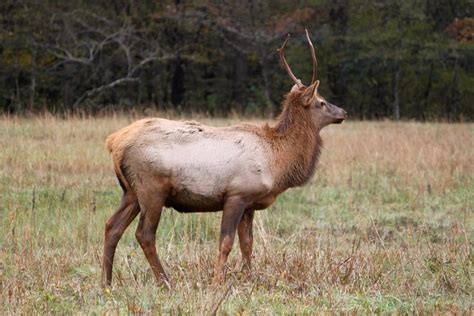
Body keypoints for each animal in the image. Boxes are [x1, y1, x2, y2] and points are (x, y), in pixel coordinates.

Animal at [103, 29, 348, 286]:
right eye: (321, 102)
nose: (343, 112)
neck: (277, 161)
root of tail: (114, 142)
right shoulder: (236, 194)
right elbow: (226, 242)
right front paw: (217, 282)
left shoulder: (250, 202)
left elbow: (247, 243)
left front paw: (249, 277)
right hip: (151, 188)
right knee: (144, 234)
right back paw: (164, 281)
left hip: (131, 191)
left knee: (112, 227)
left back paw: (106, 282)